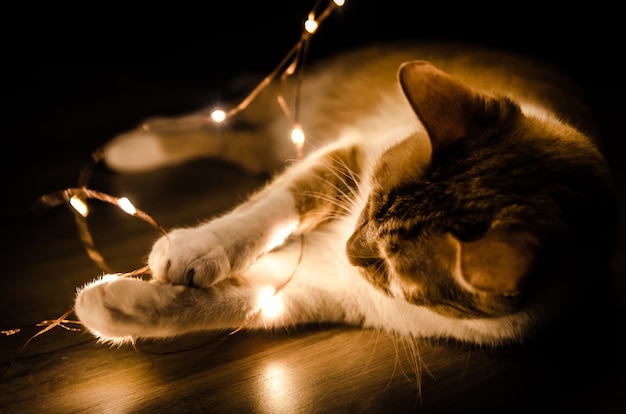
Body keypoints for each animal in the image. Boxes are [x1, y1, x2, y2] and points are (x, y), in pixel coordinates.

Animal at [72, 42, 616, 346]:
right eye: (371, 200)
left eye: (387, 267)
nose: (351, 249)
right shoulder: (343, 157)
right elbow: (262, 213)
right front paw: (197, 249)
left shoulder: (322, 290)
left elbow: (229, 304)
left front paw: (112, 307)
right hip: (290, 109)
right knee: (225, 122)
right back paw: (133, 146)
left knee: (241, 141)